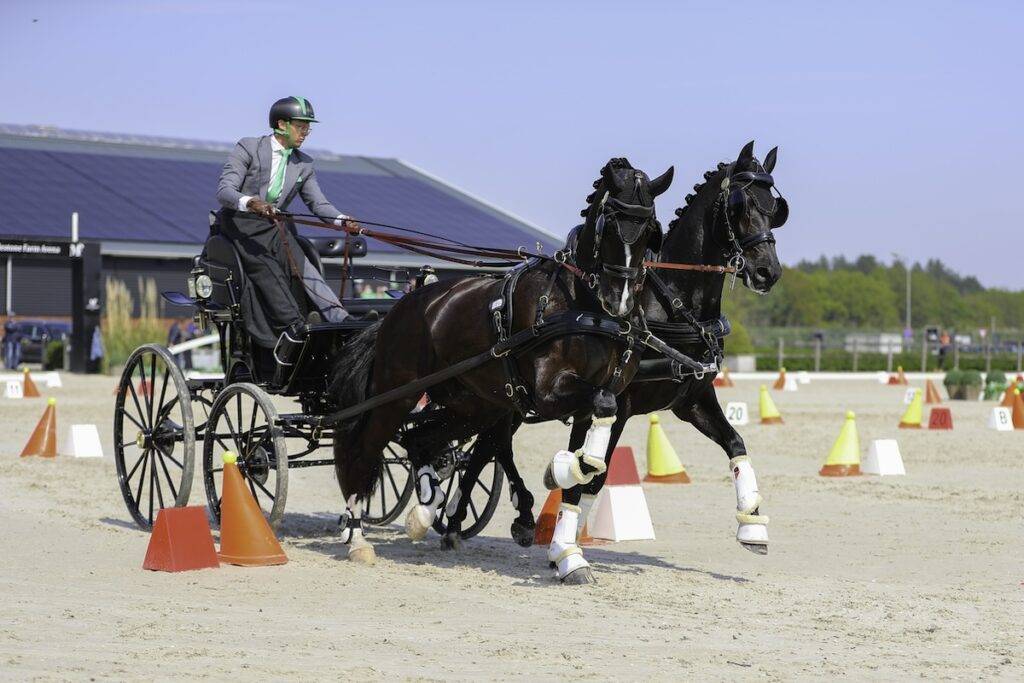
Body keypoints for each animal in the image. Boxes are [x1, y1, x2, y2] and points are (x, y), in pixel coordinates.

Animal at [329, 158, 674, 577]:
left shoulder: (588, 402)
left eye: (651, 230)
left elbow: (587, 463)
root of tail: (401, 306)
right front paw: (558, 477)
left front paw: (568, 553)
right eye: (608, 224)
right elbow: (599, 414)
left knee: (422, 441)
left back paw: (425, 511)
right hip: (396, 395)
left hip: (470, 404)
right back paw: (358, 536)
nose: (619, 300)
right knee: (366, 450)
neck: (584, 308)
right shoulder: (549, 392)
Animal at [442, 140, 787, 583]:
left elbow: (735, 443)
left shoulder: (691, 399)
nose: (767, 272)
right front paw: (566, 550)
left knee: (488, 446)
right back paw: (465, 517)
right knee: (490, 445)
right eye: (741, 206)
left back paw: (463, 520)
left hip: (509, 398)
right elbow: (591, 473)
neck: (672, 300)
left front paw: (752, 525)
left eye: (775, 208)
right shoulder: (612, 404)